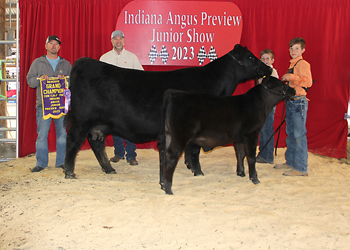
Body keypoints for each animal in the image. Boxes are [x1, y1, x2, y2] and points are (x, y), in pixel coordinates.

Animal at [62, 44, 270, 178]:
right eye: (250, 57)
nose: (268, 67)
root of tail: (84, 62)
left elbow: (190, 150)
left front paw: (190, 167)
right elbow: (195, 150)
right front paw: (198, 171)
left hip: (99, 124)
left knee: (96, 143)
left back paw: (108, 169)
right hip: (83, 119)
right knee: (73, 140)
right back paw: (69, 171)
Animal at [159, 76, 296, 195]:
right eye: (281, 84)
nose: (294, 90)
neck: (258, 104)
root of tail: (174, 93)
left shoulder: (239, 138)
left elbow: (240, 154)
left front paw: (241, 172)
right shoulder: (252, 135)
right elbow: (251, 157)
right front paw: (255, 178)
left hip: (169, 135)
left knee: (164, 154)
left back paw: (162, 184)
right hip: (180, 136)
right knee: (172, 155)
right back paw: (168, 188)